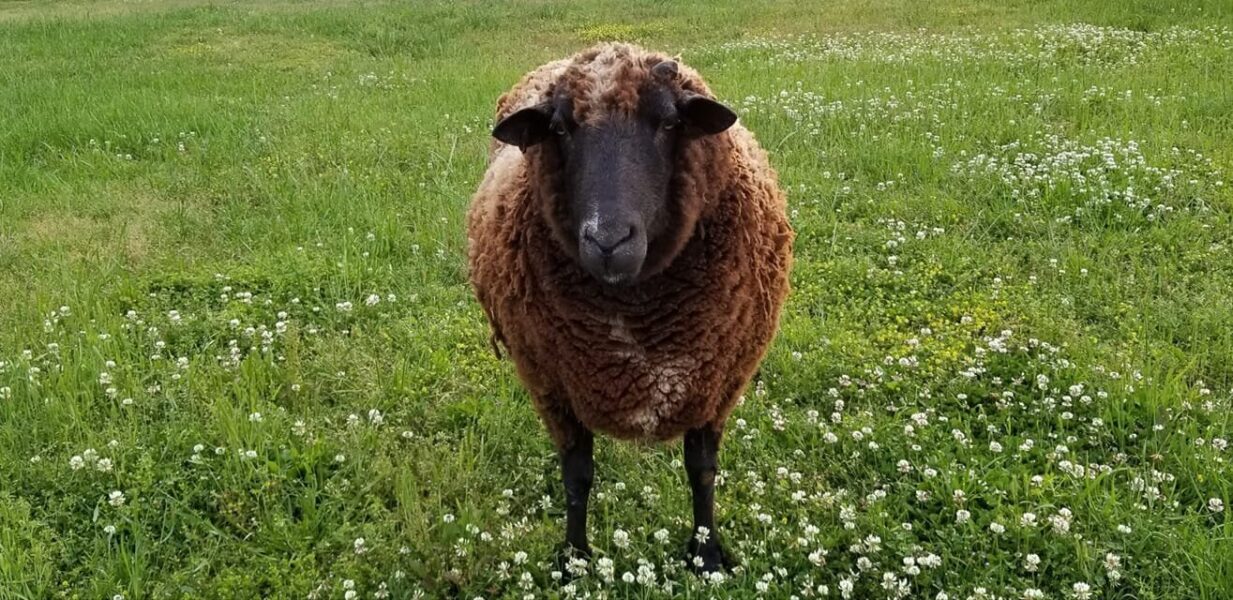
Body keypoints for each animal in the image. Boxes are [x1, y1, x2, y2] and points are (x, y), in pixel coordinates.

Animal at [466, 42, 793, 573]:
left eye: (669, 122)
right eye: (560, 129)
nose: (608, 240)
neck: (637, 311)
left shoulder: (718, 382)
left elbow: (702, 470)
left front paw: (706, 554)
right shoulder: (553, 385)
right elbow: (577, 475)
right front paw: (573, 559)